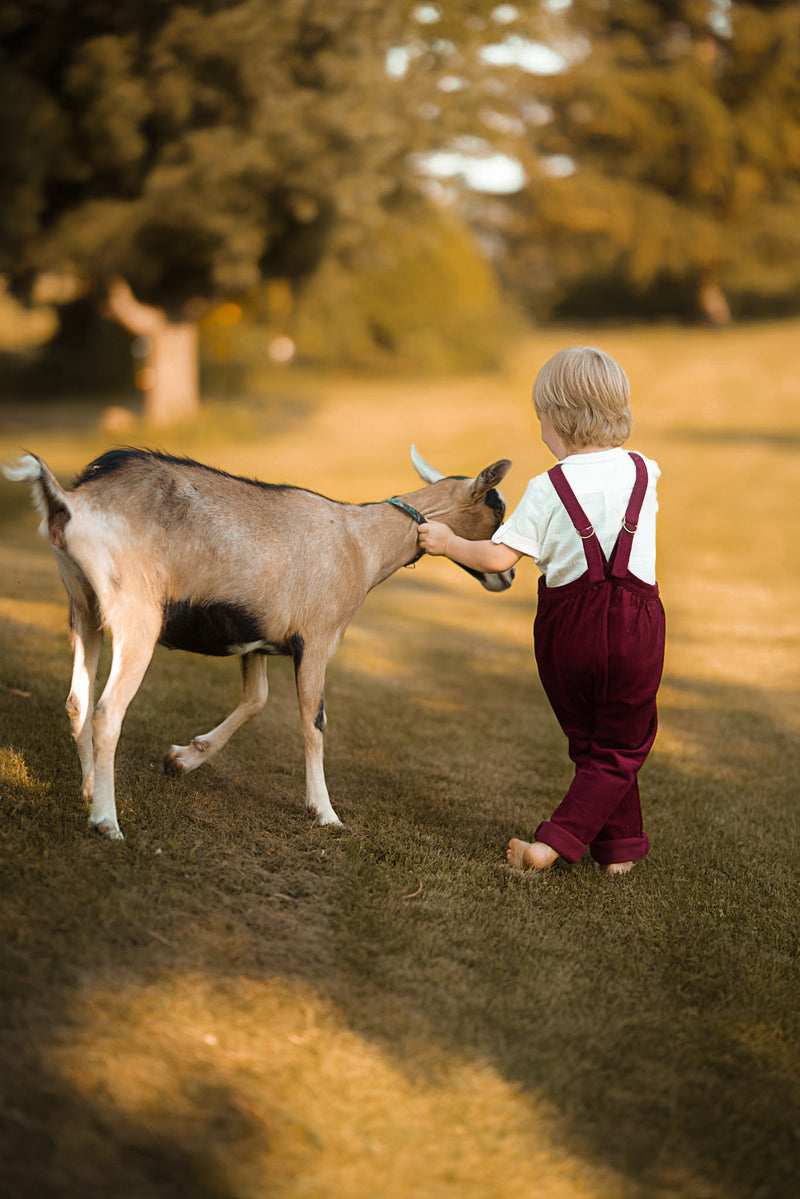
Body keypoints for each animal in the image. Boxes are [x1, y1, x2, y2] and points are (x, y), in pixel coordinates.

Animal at [4, 446, 513, 839]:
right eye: (497, 510)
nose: (507, 576)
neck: (361, 542)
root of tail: (72, 500)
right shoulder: (318, 639)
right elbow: (314, 721)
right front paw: (324, 812)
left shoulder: (255, 639)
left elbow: (257, 700)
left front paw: (182, 759)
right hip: (137, 615)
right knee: (108, 710)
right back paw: (107, 821)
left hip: (84, 606)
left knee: (77, 699)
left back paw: (89, 791)